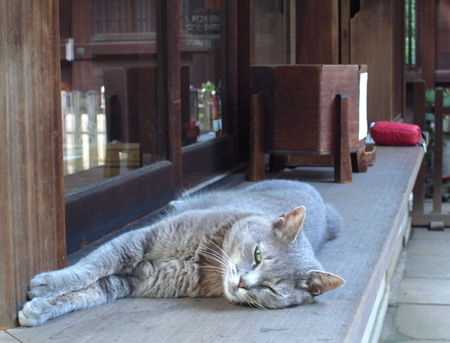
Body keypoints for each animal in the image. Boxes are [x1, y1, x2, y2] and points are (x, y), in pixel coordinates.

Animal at [17, 180, 342, 328]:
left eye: (272, 289)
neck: (203, 261)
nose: (243, 283)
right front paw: (47, 283)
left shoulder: (135, 280)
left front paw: (39, 308)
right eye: (258, 255)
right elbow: (91, 266)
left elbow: (91, 292)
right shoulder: (138, 242)